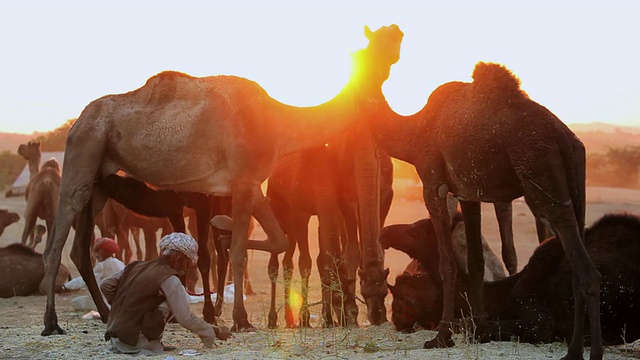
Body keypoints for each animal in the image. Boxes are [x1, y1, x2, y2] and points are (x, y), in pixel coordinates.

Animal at [266, 144, 396, 330]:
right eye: (364, 292)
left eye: (385, 292)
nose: (377, 317)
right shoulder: (303, 211)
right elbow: (307, 262)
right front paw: (308, 319)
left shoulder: (382, 196)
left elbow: (331, 259)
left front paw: (329, 319)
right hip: (280, 210)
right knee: (274, 262)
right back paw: (273, 319)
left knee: (288, 261)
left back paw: (291, 319)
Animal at [368, 61, 604, 358]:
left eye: (415, 231)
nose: (384, 235)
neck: (414, 131)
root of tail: (566, 138)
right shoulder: (468, 192)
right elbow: (476, 263)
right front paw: (478, 329)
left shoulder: (433, 183)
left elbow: (446, 263)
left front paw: (442, 336)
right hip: (577, 187)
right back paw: (574, 349)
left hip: (542, 179)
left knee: (586, 270)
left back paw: (588, 352)